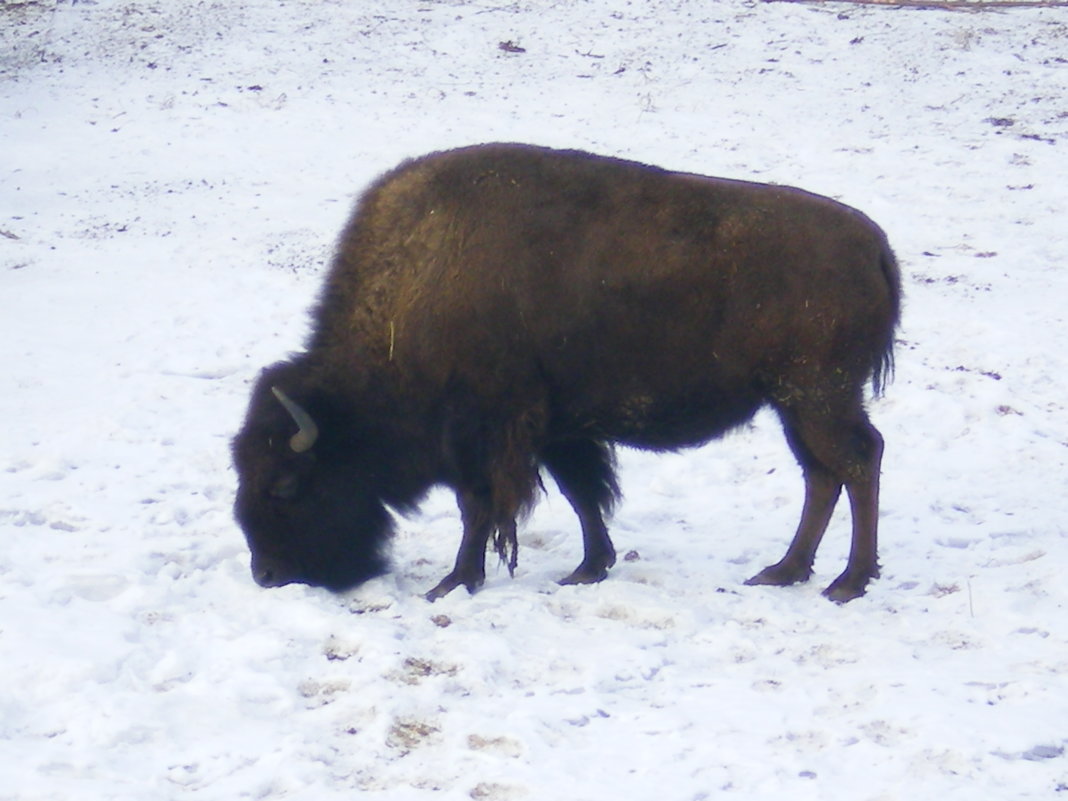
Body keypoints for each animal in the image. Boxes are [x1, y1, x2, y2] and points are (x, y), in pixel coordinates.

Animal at [233, 143, 901, 602]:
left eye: (287, 485)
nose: (267, 574)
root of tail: (875, 245)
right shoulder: (557, 430)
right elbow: (583, 494)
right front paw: (588, 568)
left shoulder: (487, 435)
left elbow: (481, 507)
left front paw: (453, 582)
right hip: (794, 403)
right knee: (824, 474)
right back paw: (785, 571)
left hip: (817, 395)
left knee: (856, 462)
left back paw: (847, 582)